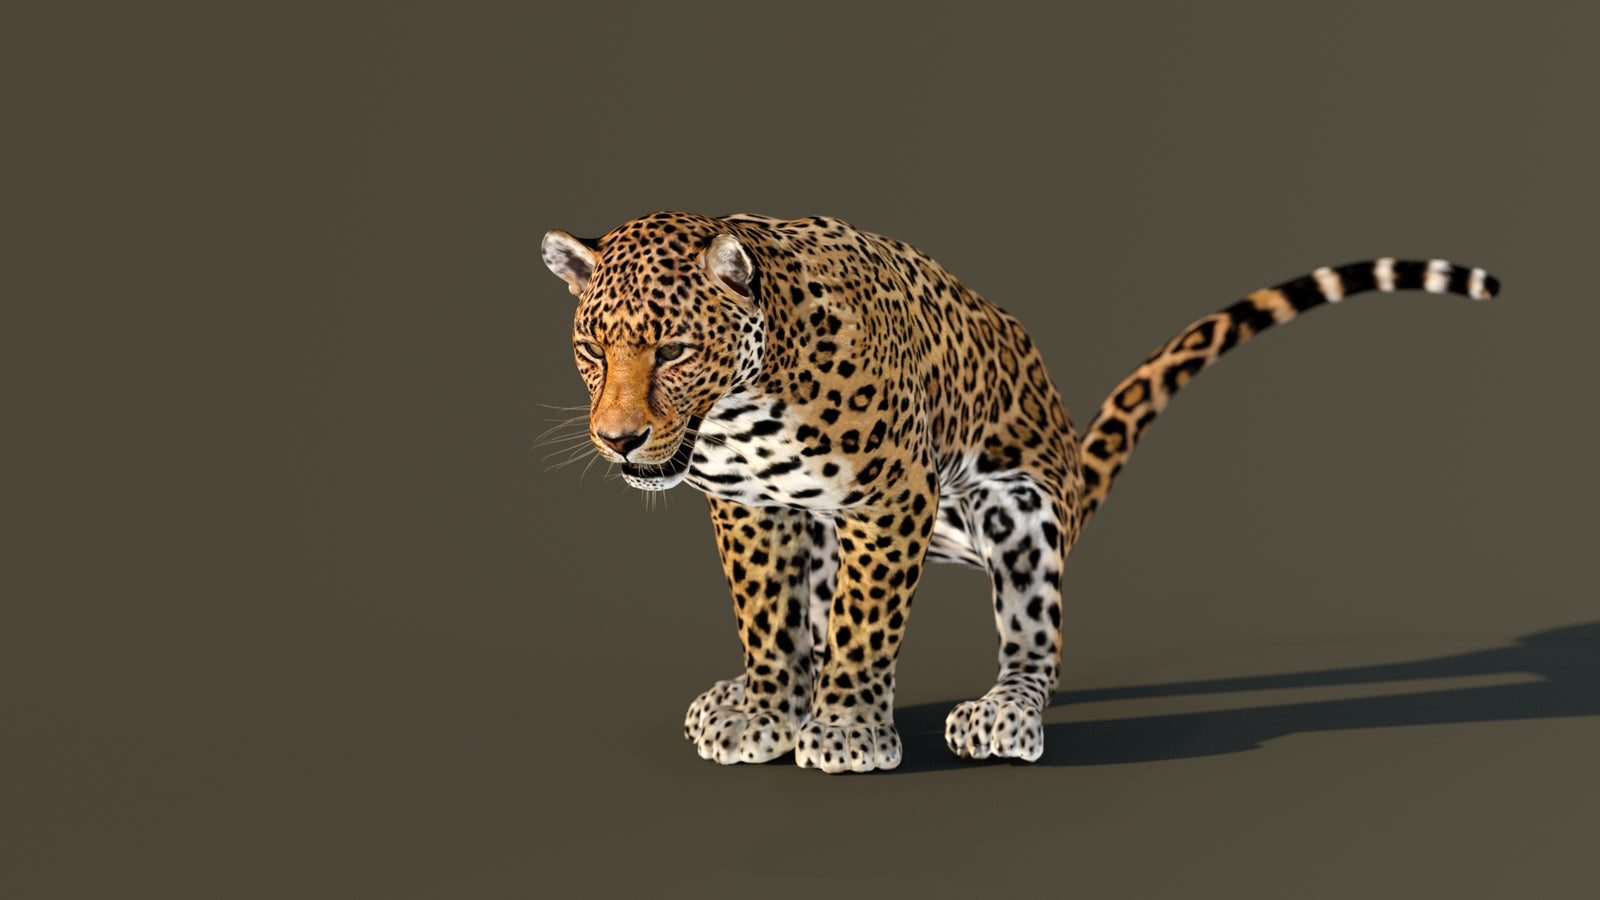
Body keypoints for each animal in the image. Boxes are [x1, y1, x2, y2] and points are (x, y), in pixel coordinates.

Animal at [539, 210, 1497, 774]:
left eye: (673, 350)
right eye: (592, 350)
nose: (618, 439)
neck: (747, 402)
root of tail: (1069, 463)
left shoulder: (891, 497)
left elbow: (863, 625)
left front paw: (845, 730)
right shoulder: (755, 505)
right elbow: (769, 617)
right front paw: (768, 709)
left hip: (1016, 507)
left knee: (1036, 643)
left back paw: (1001, 713)